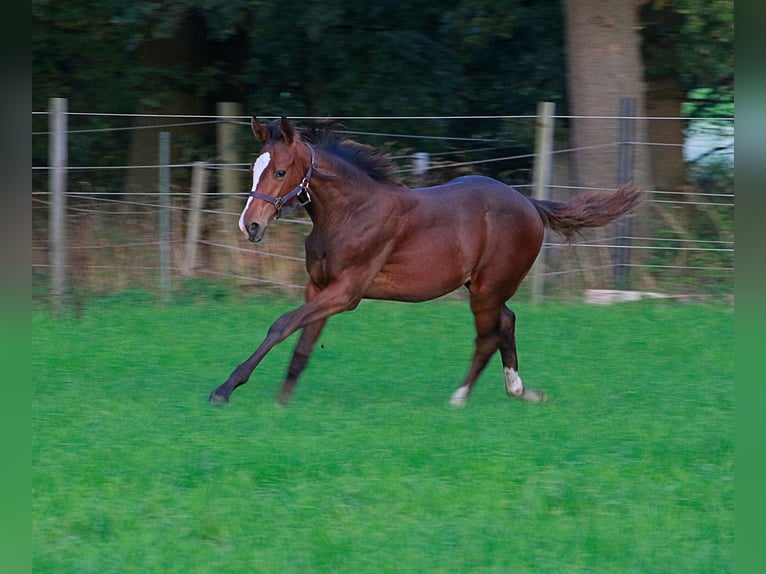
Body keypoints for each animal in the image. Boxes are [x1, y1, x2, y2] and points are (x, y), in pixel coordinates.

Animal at [208, 116, 641, 407]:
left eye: (281, 171)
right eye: (253, 168)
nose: (250, 225)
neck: (349, 212)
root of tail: (530, 203)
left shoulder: (347, 292)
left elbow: (282, 324)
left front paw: (225, 389)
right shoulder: (318, 286)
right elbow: (303, 343)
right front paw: (282, 402)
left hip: (487, 289)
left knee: (488, 335)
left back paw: (460, 397)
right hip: (486, 288)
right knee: (507, 322)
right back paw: (520, 391)